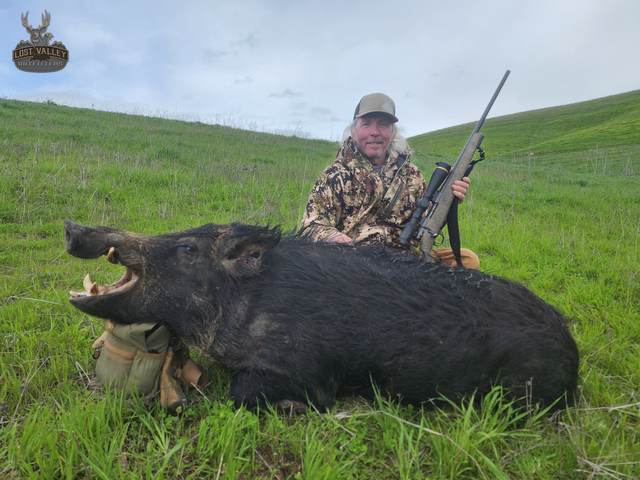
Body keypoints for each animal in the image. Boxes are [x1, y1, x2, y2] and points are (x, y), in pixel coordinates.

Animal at [64, 220, 579, 412]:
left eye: (187, 248)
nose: (74, 228)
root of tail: (573, 355)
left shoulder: (308, 371)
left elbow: (240, 393)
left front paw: (293, 409)